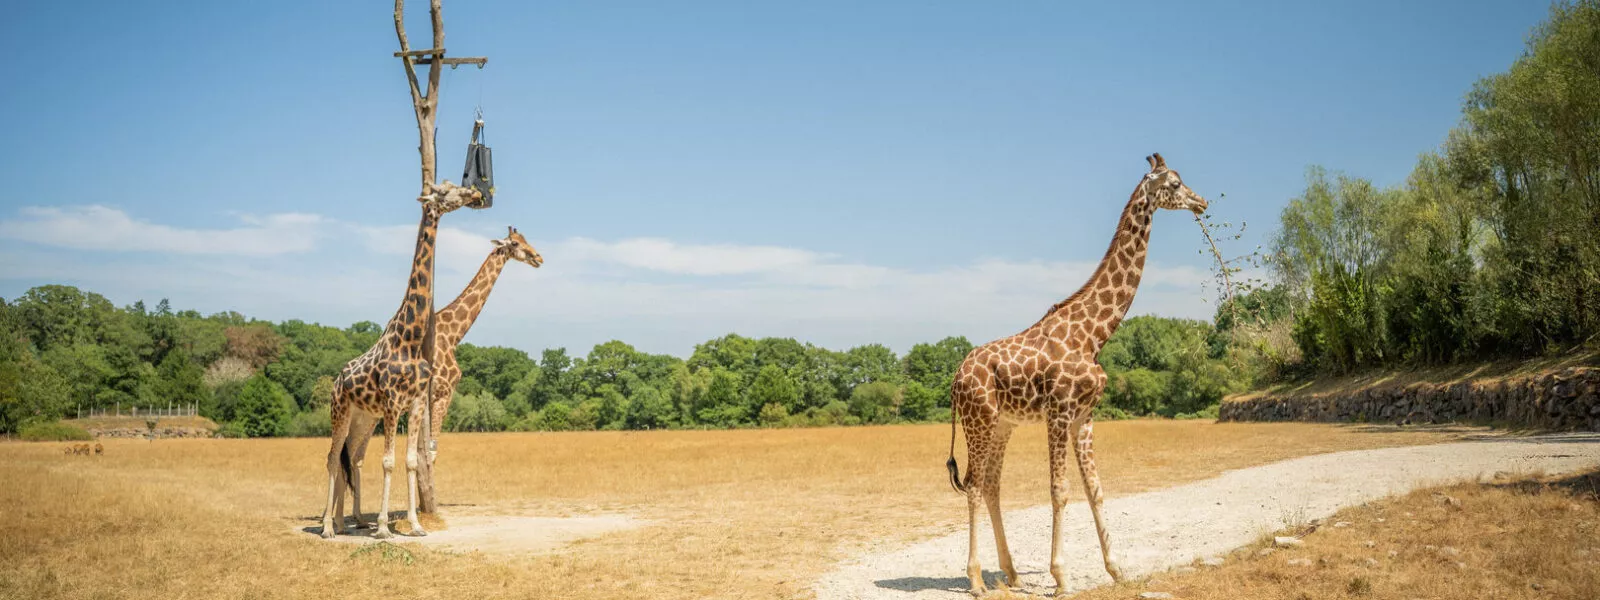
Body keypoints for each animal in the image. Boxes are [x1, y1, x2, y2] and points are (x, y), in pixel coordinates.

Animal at [319, 181, 485, 540]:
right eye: (444, 191)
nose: (475, 194)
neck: (411, 337)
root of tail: (337, 380)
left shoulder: (418, 401)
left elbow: (410, 461)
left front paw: (417, 525)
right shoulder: (394, 402)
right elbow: (388, 461)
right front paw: (383, 528)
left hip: (363, 417)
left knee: (348, 458)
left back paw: (340, 522)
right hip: (339, 411)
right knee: (331, 457)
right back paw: (325, 528)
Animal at [335, 226, 543, 529]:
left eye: (526, 240)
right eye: (516, 244)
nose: (538, 257)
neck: (454, 334)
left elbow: (422, 455)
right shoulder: (442, 393)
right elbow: (431, 453)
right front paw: (425, 511)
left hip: (369, 415)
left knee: (353, 455)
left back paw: (355, 519)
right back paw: (342, 521)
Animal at [944, 153, 1207, 596]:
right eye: (1174, 183)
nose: (1201, 202)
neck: (1095, 334)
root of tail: (955, 380)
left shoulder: (1085, 414)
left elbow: (1095, 489)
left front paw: (1116, 569)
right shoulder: (1060, 411)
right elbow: (1060, 491)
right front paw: (1061, 576)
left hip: (1003, 423)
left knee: (993, 484)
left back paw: (1012, 573)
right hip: (978, 419)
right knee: (975, 483)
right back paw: (977, 579)